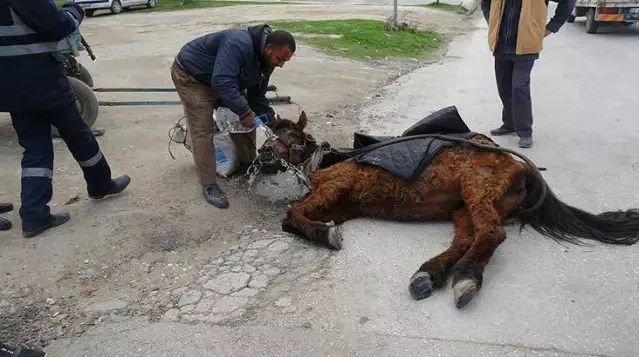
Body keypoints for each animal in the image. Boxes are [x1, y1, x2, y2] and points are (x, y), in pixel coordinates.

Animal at [255, 108, 639, 306]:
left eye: (284, 136)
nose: (261, 155)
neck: (324, 160)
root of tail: (522, 168)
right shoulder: (342, 205)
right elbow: (300, 215)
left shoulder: (335, 187)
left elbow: (292, 215)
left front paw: (325, 235)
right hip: (463, 206)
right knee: (468, 238)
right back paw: (431, 273)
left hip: (477, 189)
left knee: (490, 234)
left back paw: (465, 277)